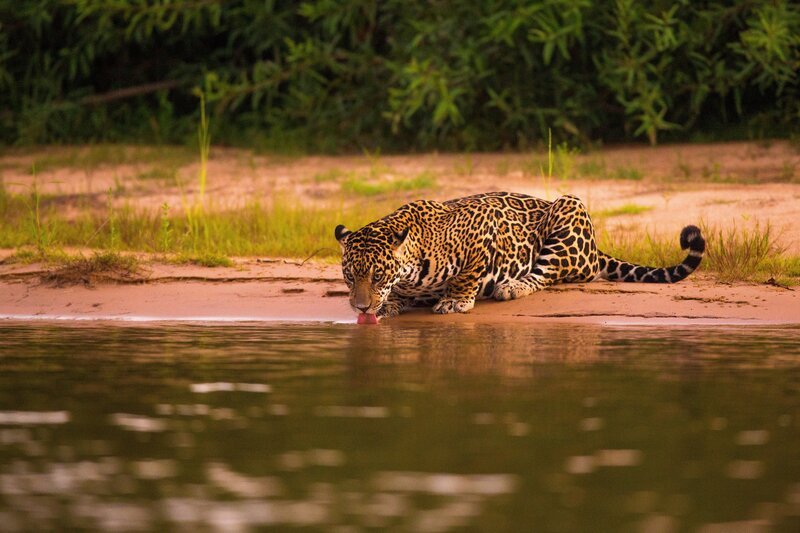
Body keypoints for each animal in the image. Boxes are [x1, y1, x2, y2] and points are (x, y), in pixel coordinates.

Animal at [334, 192, 705, 318]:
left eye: (378, 275)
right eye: (350, 276)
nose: (360, 308)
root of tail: (595, 250)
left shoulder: (484, 224)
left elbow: (468, 273)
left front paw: (454, 301)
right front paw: (391, 303)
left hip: (569, 208)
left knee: (547, 272)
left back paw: (512, 287)